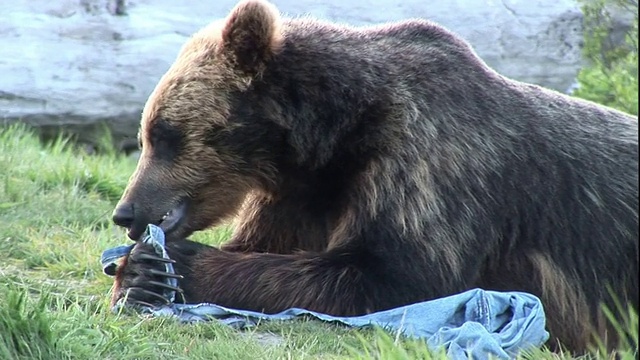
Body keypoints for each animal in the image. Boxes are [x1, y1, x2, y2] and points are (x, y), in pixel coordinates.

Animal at [110, 0, 636, 354]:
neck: (336, 140)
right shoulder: (300, 194)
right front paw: (140, 273)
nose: (126, 212)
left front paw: (169, 264)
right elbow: (265, 245)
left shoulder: (432, 162)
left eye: (163, 133)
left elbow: (391, 275)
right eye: (147, 133)